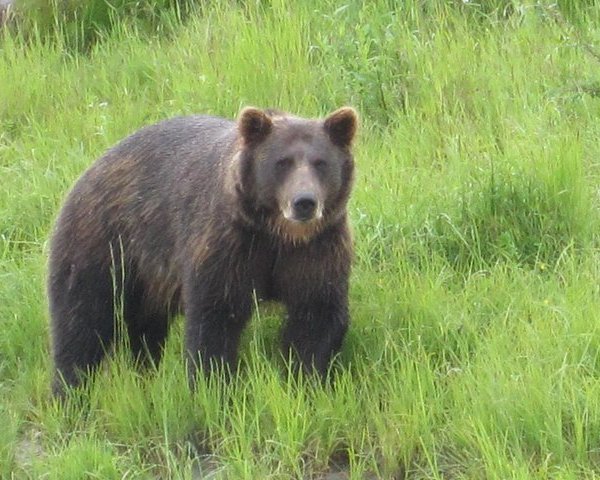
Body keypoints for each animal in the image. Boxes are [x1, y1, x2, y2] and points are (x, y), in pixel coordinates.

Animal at [48, 107, 356, 396]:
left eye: (321, 163)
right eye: (282, 162)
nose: (304, 202)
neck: (277, 234)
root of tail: (93, 167)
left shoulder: (316, 249)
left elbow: (315, 315)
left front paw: (305, 380)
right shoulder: (229, 246)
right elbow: (215, 317)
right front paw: (214, 387)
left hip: (149, 277)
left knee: (146, 327)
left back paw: (146, 373)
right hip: (103, 245)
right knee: (81, 321)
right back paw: (69, 391)